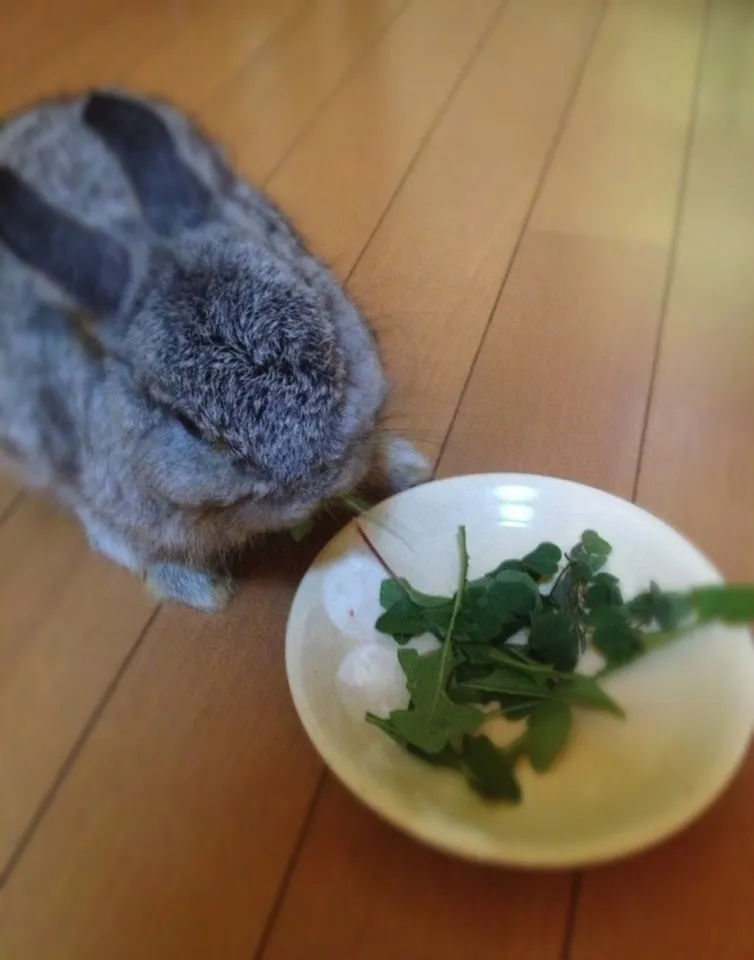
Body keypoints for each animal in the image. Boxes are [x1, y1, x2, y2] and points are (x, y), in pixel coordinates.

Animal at [0, 94, 428, 612]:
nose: (316, 480)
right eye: (188, 423)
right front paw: (202, 590)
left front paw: (407, 467)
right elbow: (121, 538)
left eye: (322, 312)